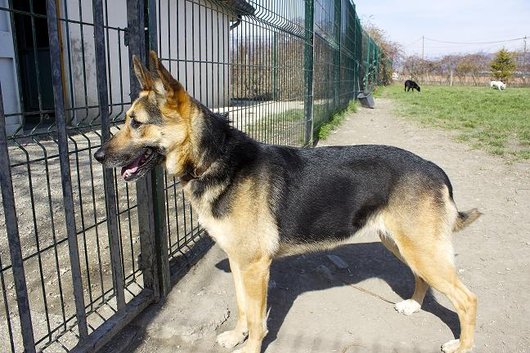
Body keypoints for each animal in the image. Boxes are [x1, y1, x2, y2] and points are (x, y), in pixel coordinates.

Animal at [94, 52, 478, 352]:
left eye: (136, 123)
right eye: (124, 121)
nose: (97, 156)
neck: (213, 159)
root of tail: (434, 169)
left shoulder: (255, 266)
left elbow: (257, 318)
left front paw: (249, 347)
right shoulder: (240, 263)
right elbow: (242, 308)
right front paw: (235, 337)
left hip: (421, 249)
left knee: (467, 300)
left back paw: (461, 345)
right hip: (403, 245)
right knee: (422, 278)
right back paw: (414, 305)